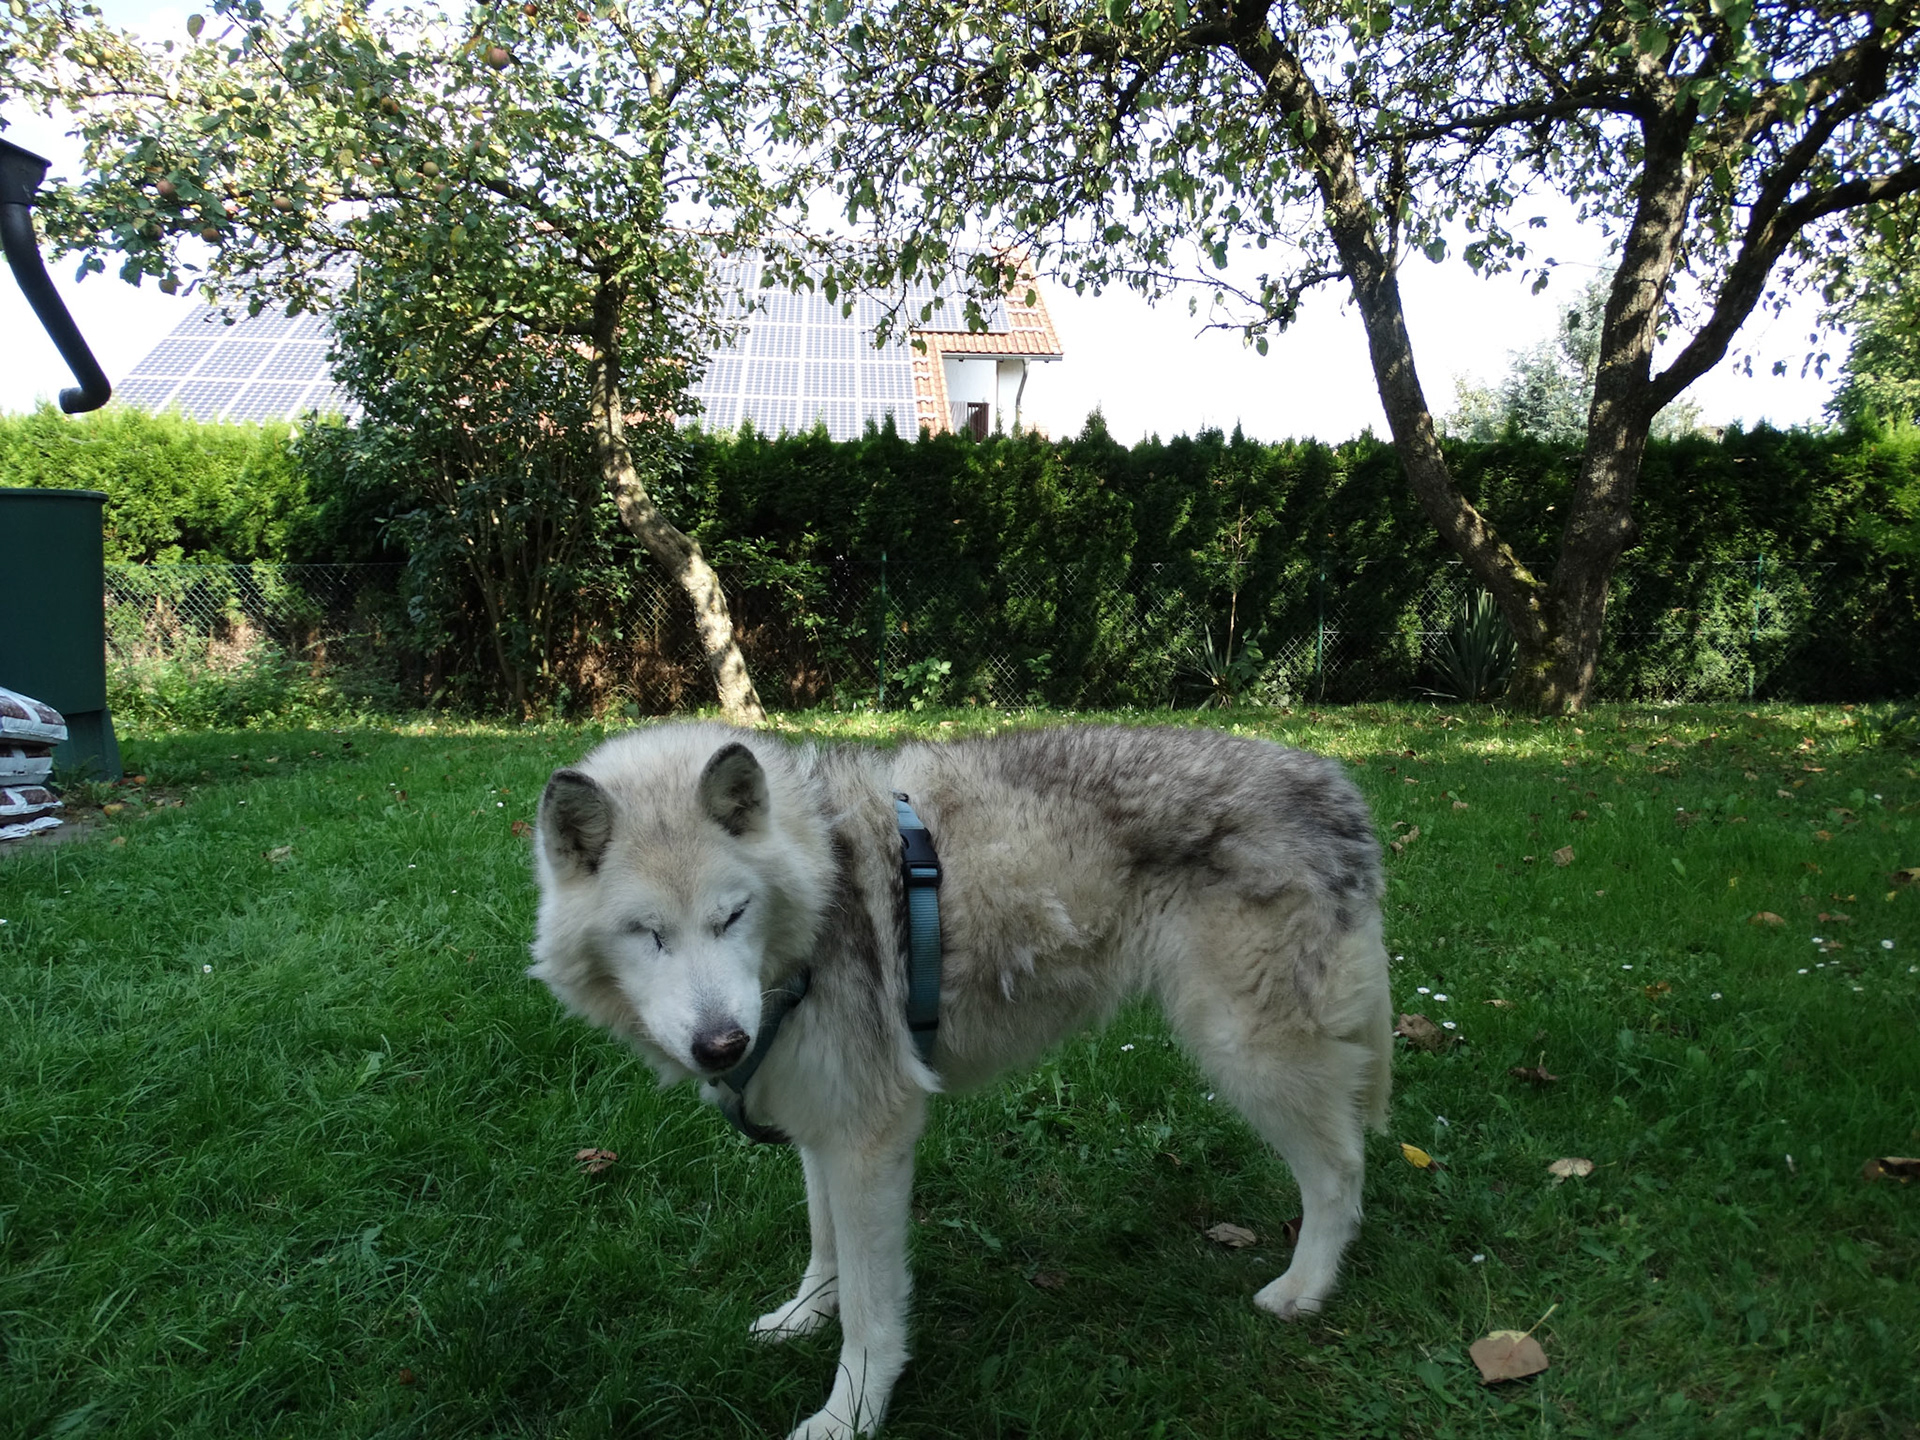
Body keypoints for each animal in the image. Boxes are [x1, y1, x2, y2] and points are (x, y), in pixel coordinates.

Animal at [529, 722, 1391, 1439]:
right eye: (647, 933)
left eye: (733, 915)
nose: (721, 1045)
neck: (824, 882)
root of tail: (1334, 778)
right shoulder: (823, 1128)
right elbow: (824, 1248)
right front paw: (803, 1317)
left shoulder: (873, 1139)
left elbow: (872, 1313)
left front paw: (850, 1415)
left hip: (1248, 1054)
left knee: (1343, 1170)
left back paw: (1304, 1289)